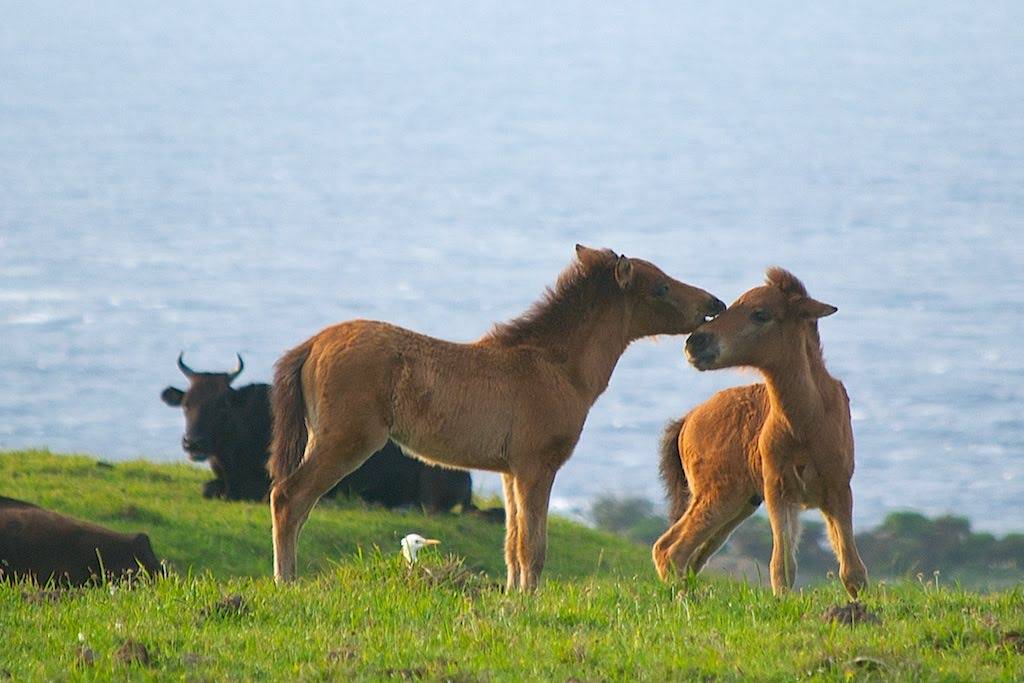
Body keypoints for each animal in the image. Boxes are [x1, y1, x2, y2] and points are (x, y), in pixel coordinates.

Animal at [268, 245, 724, 589]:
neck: (554, 366)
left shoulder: (509, 472)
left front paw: (513, 594)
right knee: (289, 496)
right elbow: (533, 546)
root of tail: (312, 344)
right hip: (347, 440)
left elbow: (511, 543)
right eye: (661, 286)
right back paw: (286, 581)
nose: (714, 304)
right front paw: (530, 599)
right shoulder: (537, 466)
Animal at [651, 266, 868, 598]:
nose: (695, 343)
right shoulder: (778, 490)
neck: (806, 421)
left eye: (760, 314)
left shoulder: (837, 488)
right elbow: (782, 567)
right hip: (720, 495)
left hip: (739, 504)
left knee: (686, 553)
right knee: (671, 550)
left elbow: (852, 570)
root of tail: (687, 420)